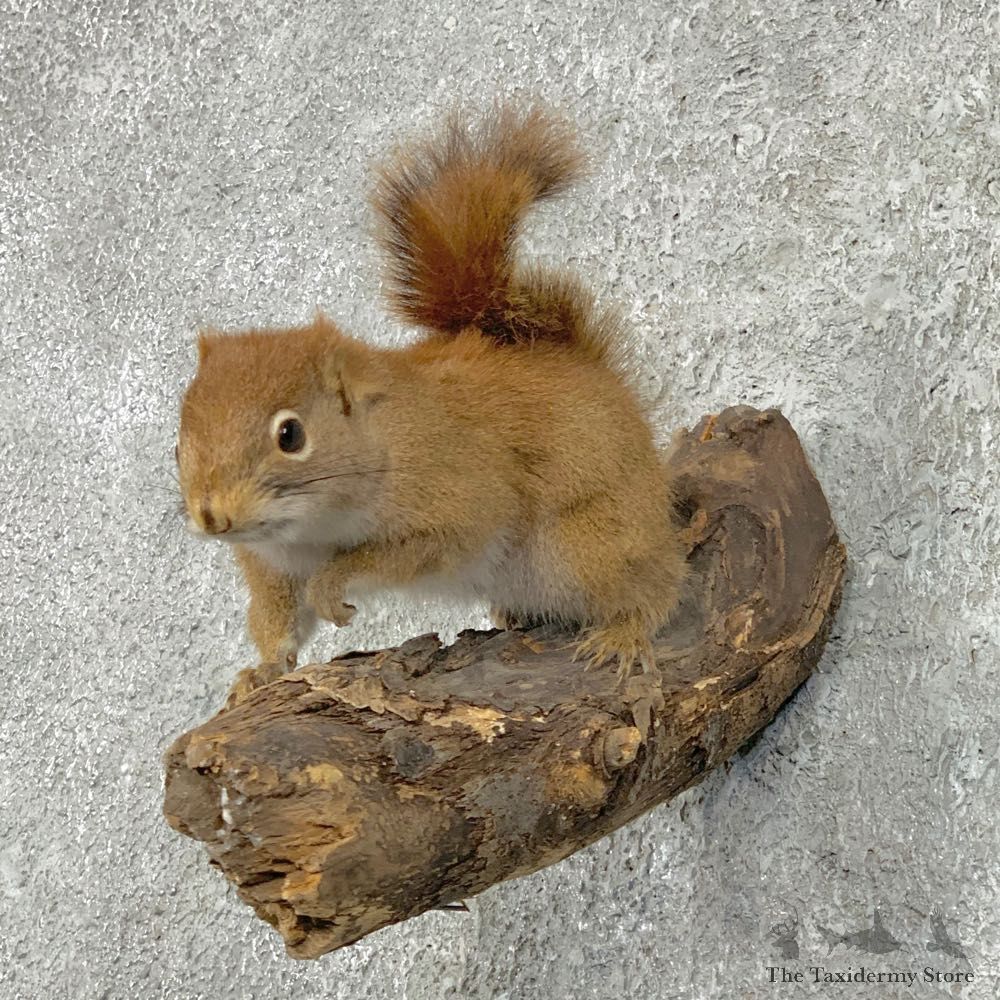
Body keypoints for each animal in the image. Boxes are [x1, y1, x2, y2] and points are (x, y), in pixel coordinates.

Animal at [176, 105, 688, 701]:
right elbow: (275, 618)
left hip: (591, 543)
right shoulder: (274, 565)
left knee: (658, 581)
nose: (213, 517)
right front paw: (262, 670)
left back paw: (624, 633)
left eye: (291, 435)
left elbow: (392, 553)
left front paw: (332, 588)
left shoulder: (455, 501)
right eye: (178, 445)